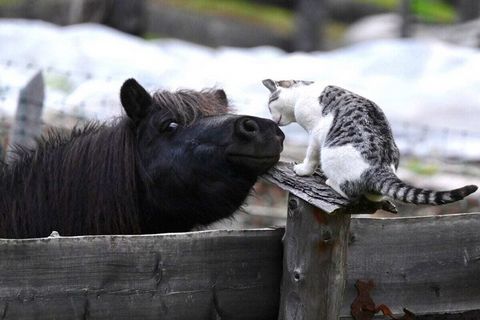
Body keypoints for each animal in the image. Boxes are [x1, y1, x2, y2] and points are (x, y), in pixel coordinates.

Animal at [262, 79, 480, 205]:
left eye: (270, 103)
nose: (273, 119)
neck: (302, 91)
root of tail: (380, 167)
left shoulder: (316, 133)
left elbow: (311, 156)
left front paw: (303, 170)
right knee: (377, 195)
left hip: (331, 153)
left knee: (349, 191)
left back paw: (330, 181)